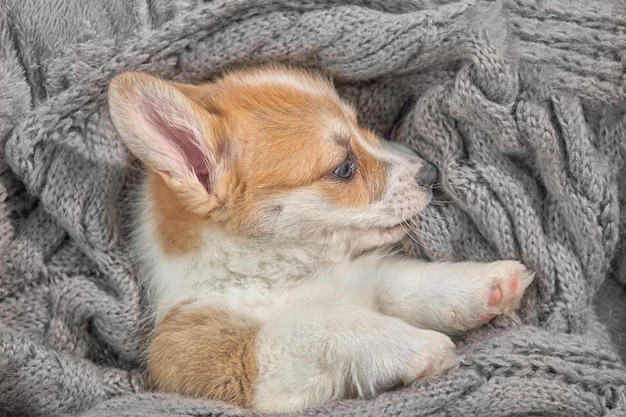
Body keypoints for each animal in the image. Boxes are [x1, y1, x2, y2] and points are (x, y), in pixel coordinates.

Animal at [106, 66, 532, 412]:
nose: (429, 172)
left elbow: (405, 281)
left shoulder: (361, 278)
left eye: (362, 126)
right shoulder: (225, 364)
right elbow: (322, 320)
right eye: (344, 168)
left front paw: (487, 283)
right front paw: (416, 347)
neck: (278, 273)